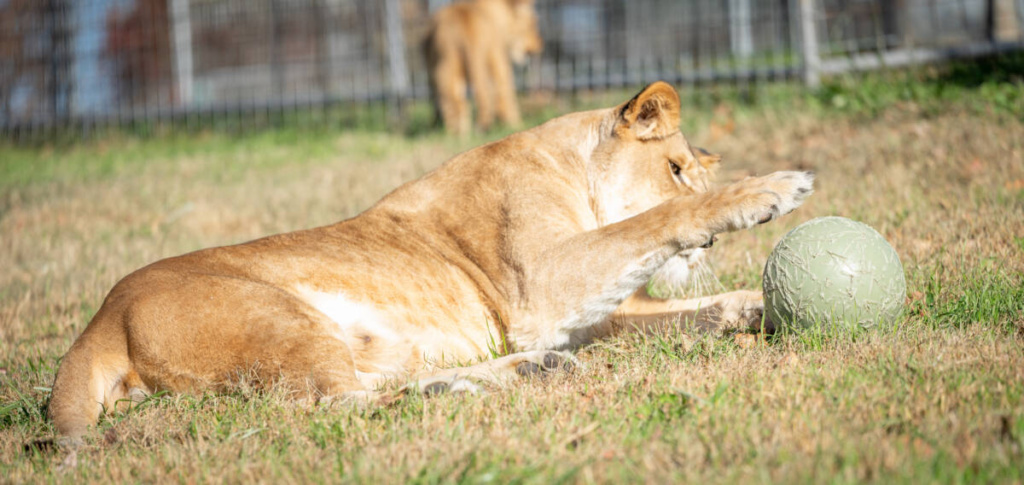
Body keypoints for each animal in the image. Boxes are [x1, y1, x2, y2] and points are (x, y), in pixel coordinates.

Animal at [47, 82, 813, 445]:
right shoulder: (543, 288)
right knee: (334, 405)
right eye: (676, 170)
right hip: (277, 317)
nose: (710, 251)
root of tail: (103, 317)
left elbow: (679, 310)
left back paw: (525, 372)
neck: (563, 157)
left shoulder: (575, 316)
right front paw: (771, 190)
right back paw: (469, 387)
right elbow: (649, 225)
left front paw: (752, 304)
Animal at [424, 0, 543, 136]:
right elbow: (505, 94)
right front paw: (515, 124)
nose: (540, 45)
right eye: (533, 24)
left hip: (446, 68)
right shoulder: (498, 57)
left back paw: (457, 135)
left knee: (455, 104)